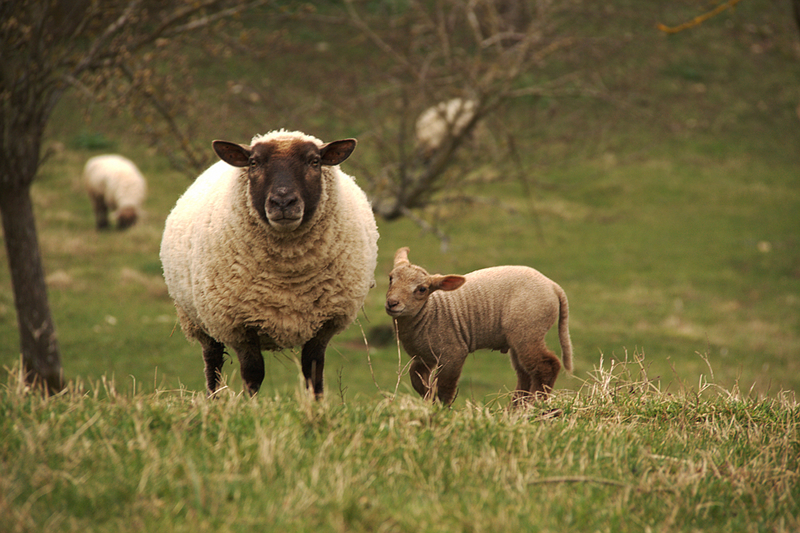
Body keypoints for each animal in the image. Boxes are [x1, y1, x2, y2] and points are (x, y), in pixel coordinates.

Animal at [161, 128, 380, 394]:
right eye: (254, 163)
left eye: (314, 162)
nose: (283, 202)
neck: (288, 273)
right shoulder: (240, 326)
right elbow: (252, 374)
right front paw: (250, 405)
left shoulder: (324, 324)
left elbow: (313, 374)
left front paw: (317, 404)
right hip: (200, 320)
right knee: (212, 365)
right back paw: (214, 399)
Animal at [384, 245, 572, 404]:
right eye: (390, 278)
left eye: (422, 289)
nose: (392, 303)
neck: (429, 313)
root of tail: (553, 286)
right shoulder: (423, 357)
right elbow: (417, 380)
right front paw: (429, 399)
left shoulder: (453, 353)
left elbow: (445, 388)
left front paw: (440, 410)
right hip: (519, 336)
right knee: (525, 375)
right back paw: (515, 411)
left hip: (528, 329)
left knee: (547, 366)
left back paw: (534, 405)